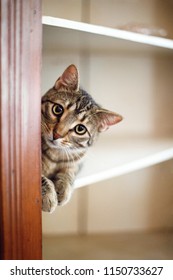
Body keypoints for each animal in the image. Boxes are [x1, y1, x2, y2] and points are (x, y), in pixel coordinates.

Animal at [41, 64, 122, 212]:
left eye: (80, 129)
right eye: (58, 109)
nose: (57, 134)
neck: (55, 155)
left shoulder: (79, 160)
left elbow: (70, 172)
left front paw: (64, 187)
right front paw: (48, 193)